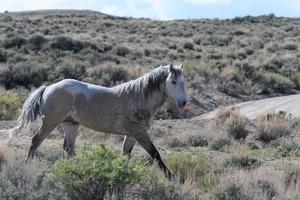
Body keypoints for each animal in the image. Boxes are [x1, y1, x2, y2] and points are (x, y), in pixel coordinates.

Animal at [15, 63, 188, 178]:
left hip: (71, 125)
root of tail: (48, 87)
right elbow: (155, 154)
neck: (138, 97)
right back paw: (26, 167)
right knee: (35, 141)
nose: (183, 103)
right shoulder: (139, 133)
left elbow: (125, 155)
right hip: (50, 123)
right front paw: (172, 178)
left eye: (183, 82)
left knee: (68, 148)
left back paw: (81, 167)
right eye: (173, 81)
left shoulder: (131, 135)